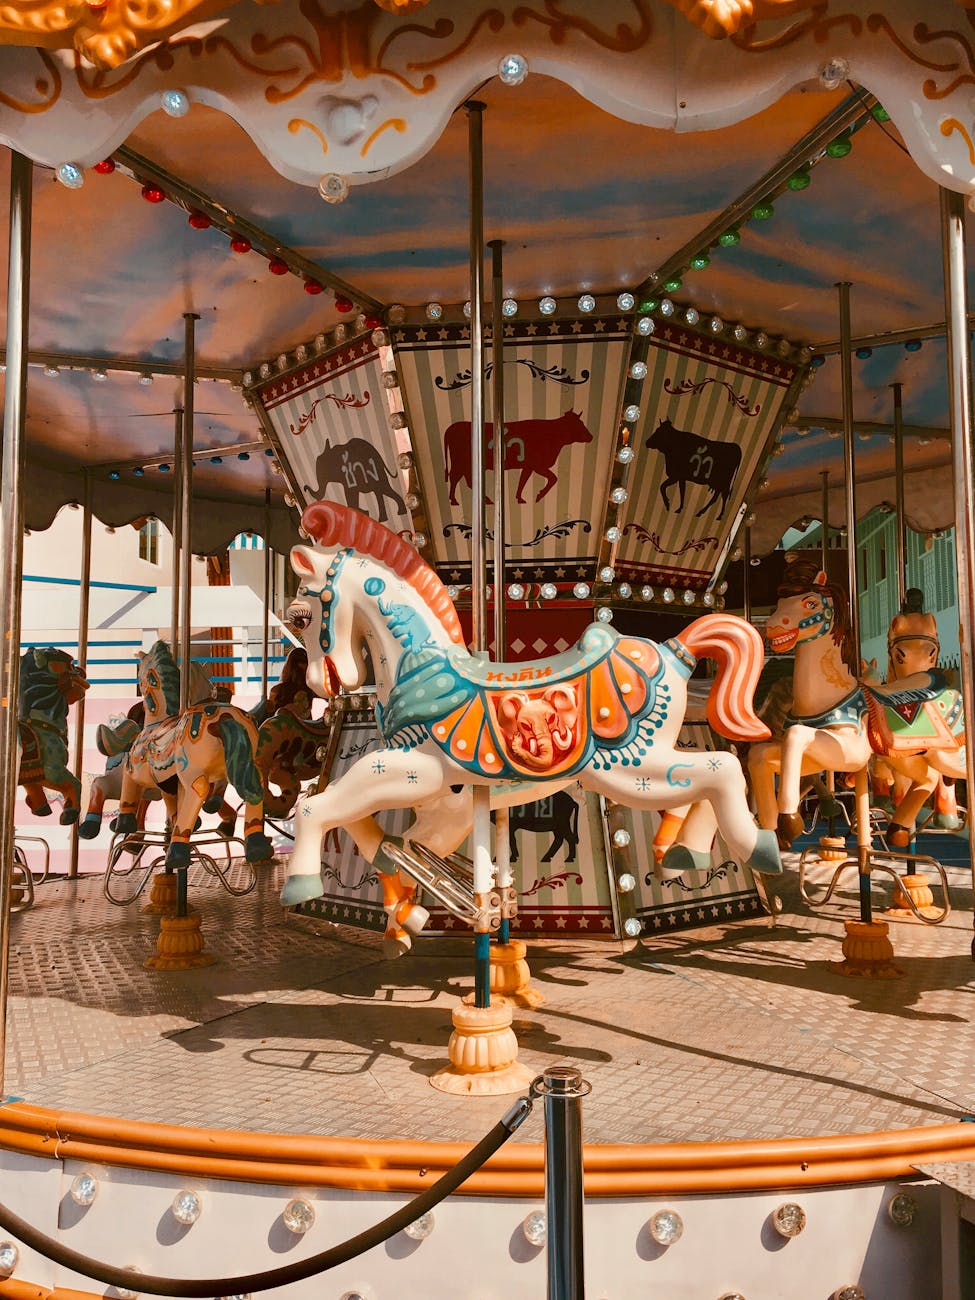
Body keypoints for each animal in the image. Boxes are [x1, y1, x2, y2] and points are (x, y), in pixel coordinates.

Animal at [17, 650, 90, 821]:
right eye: (69, 663)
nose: (82, 671)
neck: (42, 724)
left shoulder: (31, 772)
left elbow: (32, 787)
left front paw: (39, 807)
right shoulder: (52, 770)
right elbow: (75, 783)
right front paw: (70, 813)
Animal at [116, 644, 273, 868]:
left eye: (141, 676)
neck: (156, 723)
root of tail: (224, 718)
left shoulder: (135, 769)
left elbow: (128, 787)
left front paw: (123, 824)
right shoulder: (168, 783)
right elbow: (171, 803)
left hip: (192, 773)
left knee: (198, 790)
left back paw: (177, 851)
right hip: (245, 765)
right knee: (255, 787)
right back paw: (256, 845)